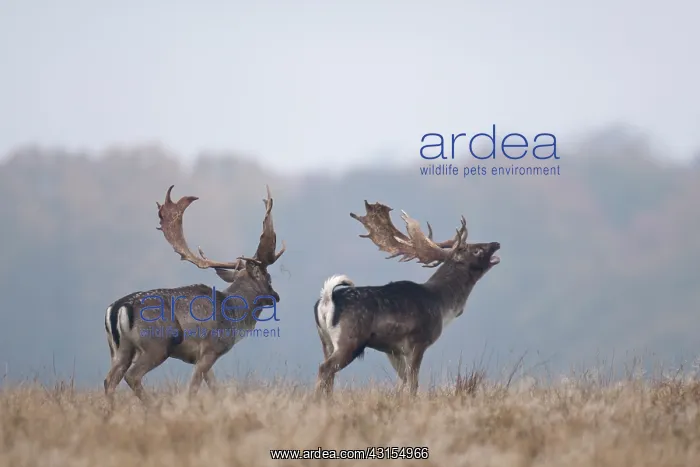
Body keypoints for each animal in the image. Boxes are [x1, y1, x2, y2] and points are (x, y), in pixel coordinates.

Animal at [103, 184, 286, 406]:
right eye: (268, 278)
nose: (276, 296)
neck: (232, 314)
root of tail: (119, 308)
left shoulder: (198, 357)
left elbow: (214, 387)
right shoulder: (210, 349)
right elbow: (193, 388)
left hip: (119, 349)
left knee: (109, 380)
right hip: (156, 345)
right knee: (132, 376)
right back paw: (153, 406)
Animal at [313, 201, 500, 397]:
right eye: (476, 250)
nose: (496, 243)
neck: (441, 305)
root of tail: (327, 299)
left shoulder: (393, 350)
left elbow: (402, 381)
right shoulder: (417, 341)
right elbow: (412, 384)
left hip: (325, 341)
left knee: (329, 375)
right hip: (350, 340)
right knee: (325, 369)